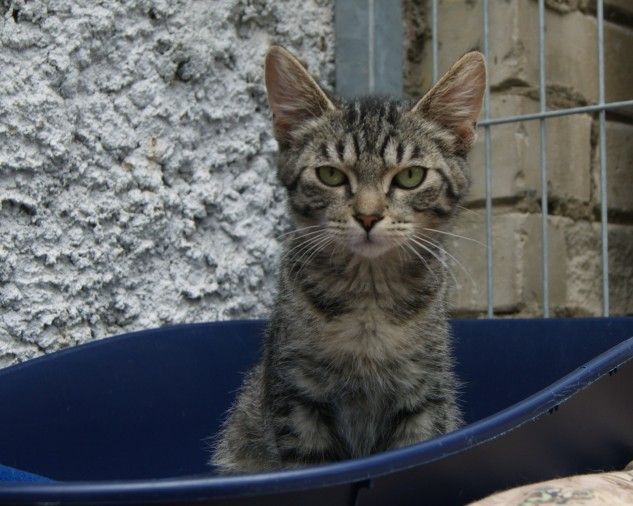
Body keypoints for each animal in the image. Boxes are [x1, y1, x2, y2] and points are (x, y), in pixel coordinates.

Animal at [211, 45, 486, 474]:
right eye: (330, 175)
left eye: (410, 176)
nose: (368, 216)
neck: (368, 301)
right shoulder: (296, 397)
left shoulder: (424, 396)